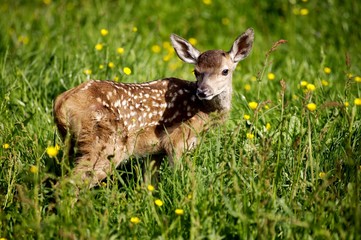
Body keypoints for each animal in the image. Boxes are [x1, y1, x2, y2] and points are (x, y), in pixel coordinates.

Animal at [53, 28, 253, 188]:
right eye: (196, 71)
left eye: (225, 71)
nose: (203, 91)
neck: (202, 111)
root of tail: (61, 102)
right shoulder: (177, 140)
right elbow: (181, 175)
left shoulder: (155, 150)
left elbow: (149, 184)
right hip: (105, 144)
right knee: (69, 184)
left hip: (72, 144)